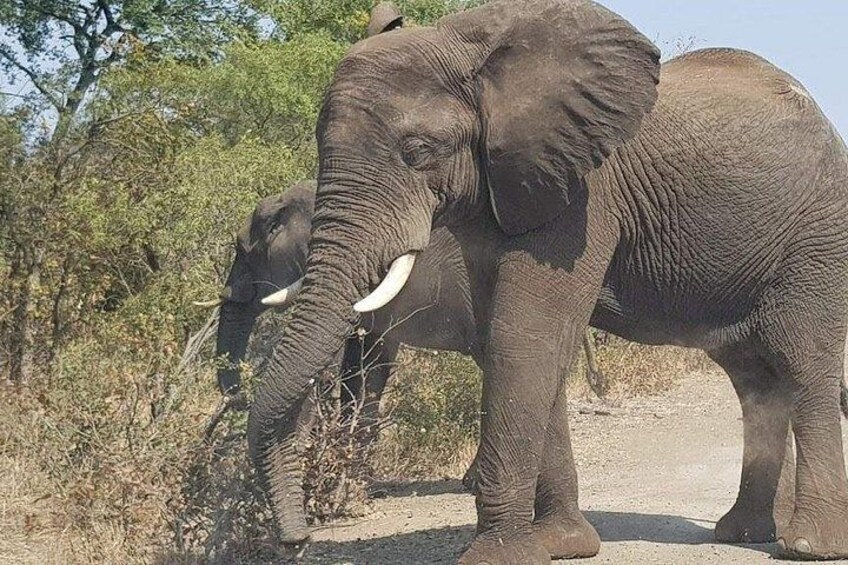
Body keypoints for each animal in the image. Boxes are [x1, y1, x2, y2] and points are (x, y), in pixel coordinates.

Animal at [246, 0, 848, 562]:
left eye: (418, 152)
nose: (297, 541)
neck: (474, 54)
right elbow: (518, 339)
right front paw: (562, 544)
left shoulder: (584, 193)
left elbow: (523, 337)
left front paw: (496, 556)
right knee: (753, 380)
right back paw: (744, 533)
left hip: (816, 239)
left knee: (802, 363)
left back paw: (805, 545)